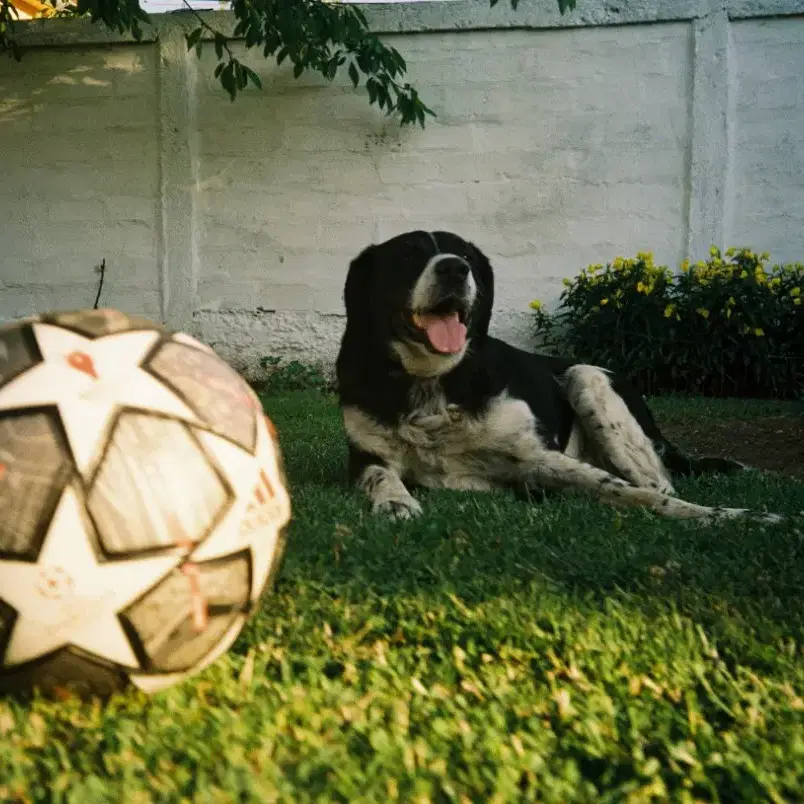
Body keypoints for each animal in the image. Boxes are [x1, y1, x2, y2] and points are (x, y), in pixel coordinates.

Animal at [334, 229, 780, 524]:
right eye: (408, 256)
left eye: (467, 257)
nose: (455, 269)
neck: (434, 384)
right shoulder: (365, 457)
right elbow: (380, 475)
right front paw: (396, 501)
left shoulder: (539, 458)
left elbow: (629, 492)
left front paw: (729, 516)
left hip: (586, 376)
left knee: (659, 483)